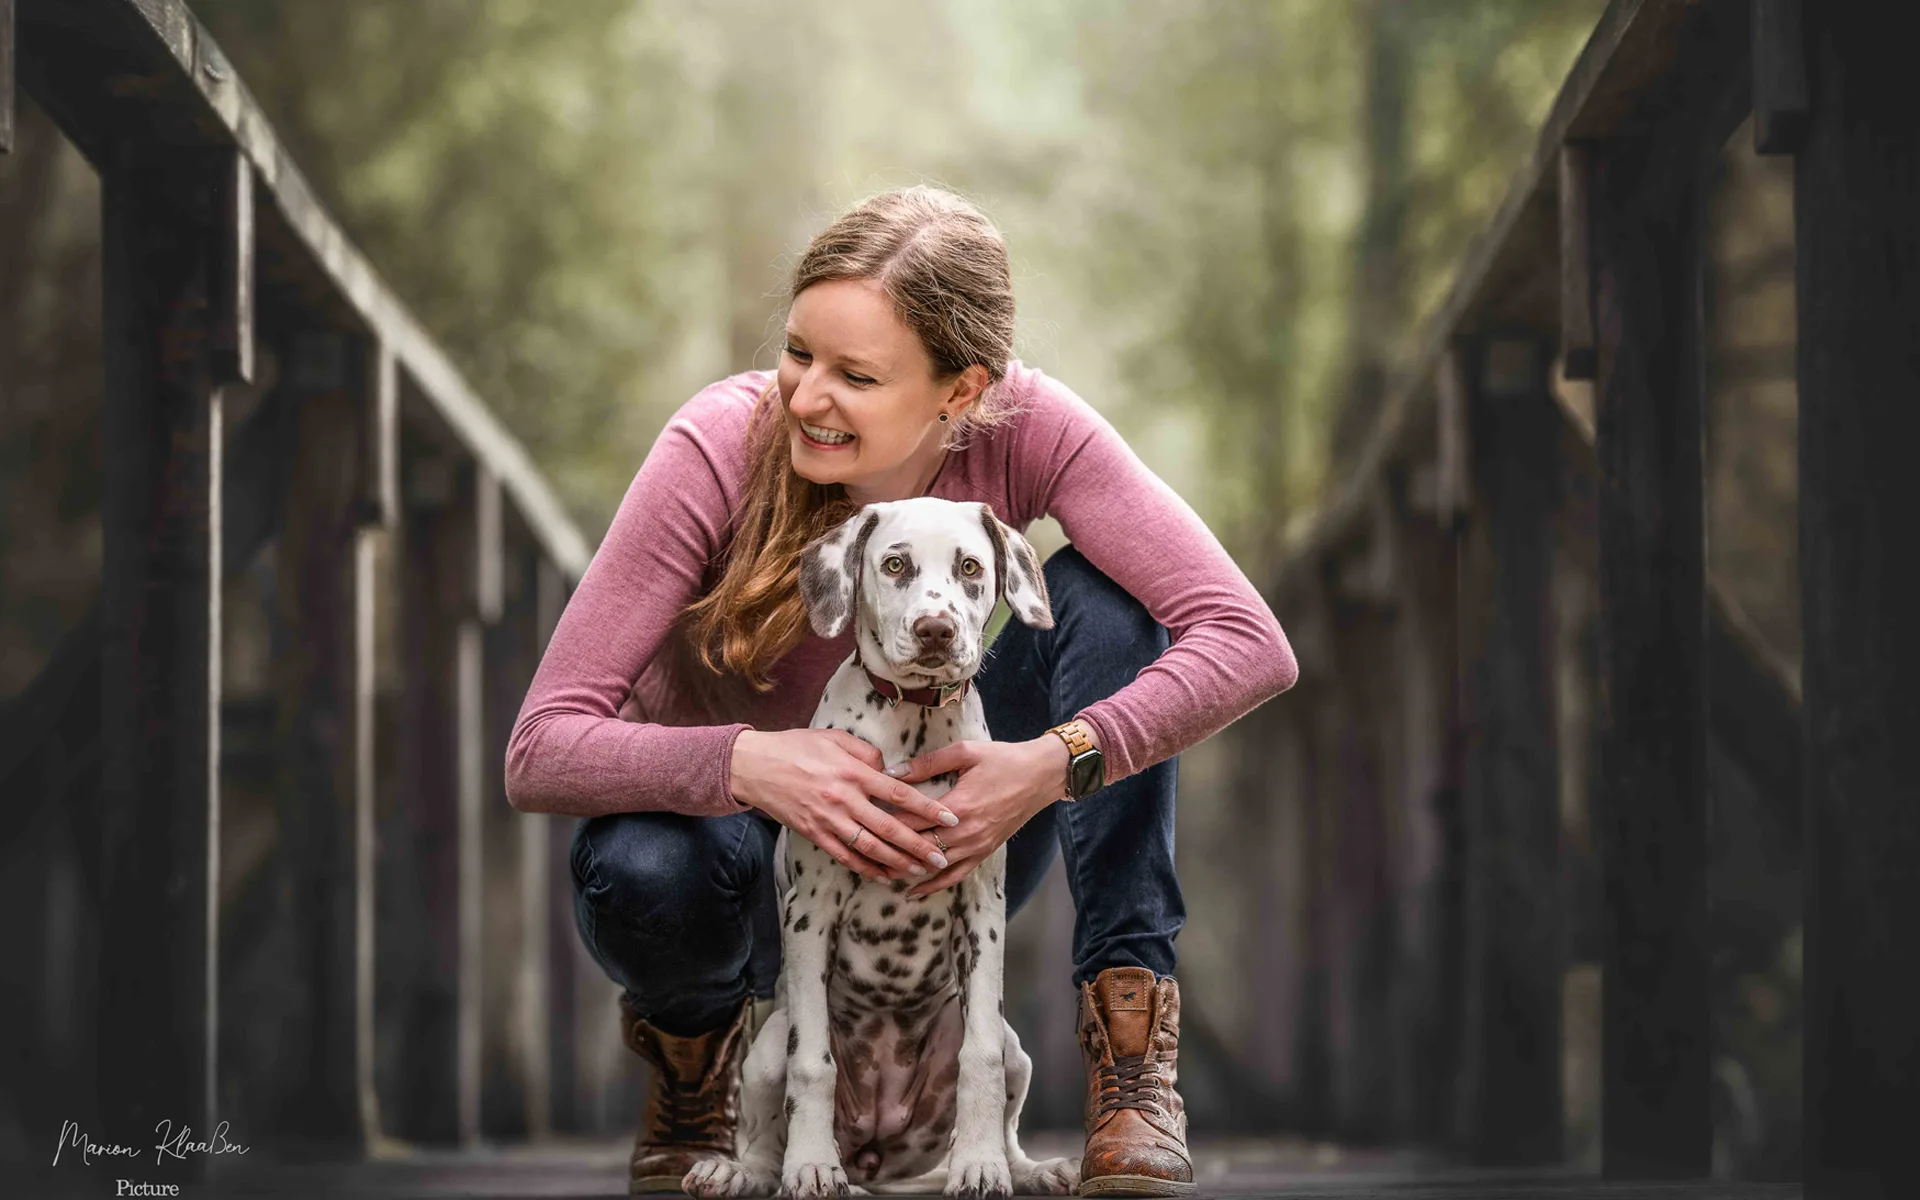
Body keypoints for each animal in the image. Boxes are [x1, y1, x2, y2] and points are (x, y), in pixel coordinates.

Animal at [687, 495, 1082, 1198]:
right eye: (895, 564)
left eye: (970, 567)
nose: (935, 630)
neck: (915, 719)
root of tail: (875, 1151)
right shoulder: (810, 913)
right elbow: (811, 1066)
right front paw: (811, 1166)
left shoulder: (982, 906)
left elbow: (978, 1056)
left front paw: (979, 1166)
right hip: (766, 1048)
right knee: (764, 1127)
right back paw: (742, 1171)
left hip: (1014, 1049)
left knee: (1004, 1100)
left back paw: (1030, 1169)